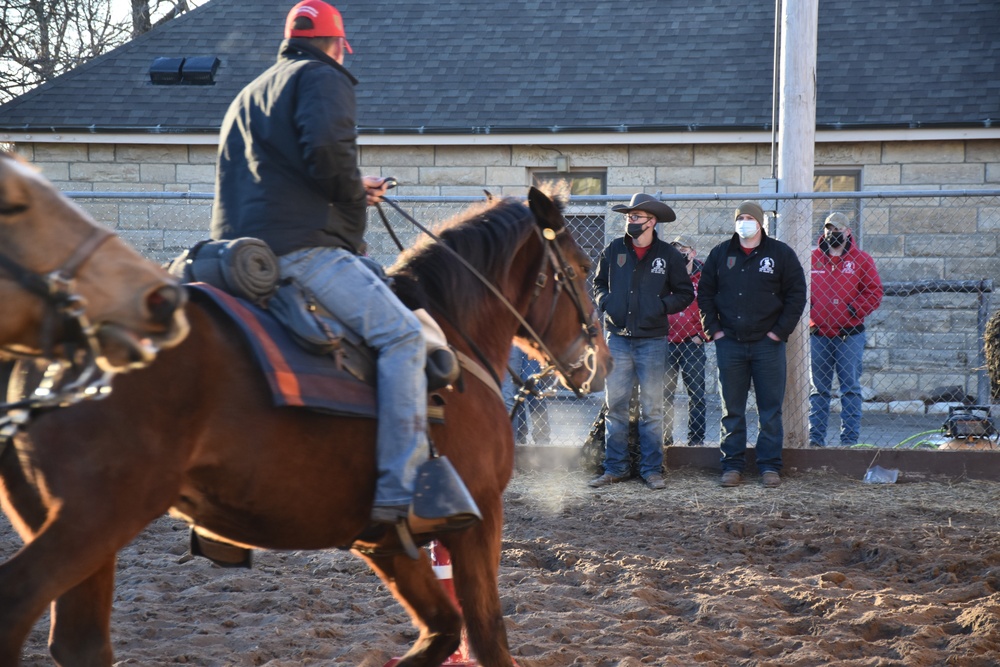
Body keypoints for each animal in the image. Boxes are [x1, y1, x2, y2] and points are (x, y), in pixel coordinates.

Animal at [0, 187, 608, 667]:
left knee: (81, 644)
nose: (598, 358)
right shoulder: (476, 519)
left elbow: (440, 631)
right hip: (94, 519)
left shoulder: (384, 541)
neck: (452, 338)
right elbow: (487, 637)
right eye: (580, 269)